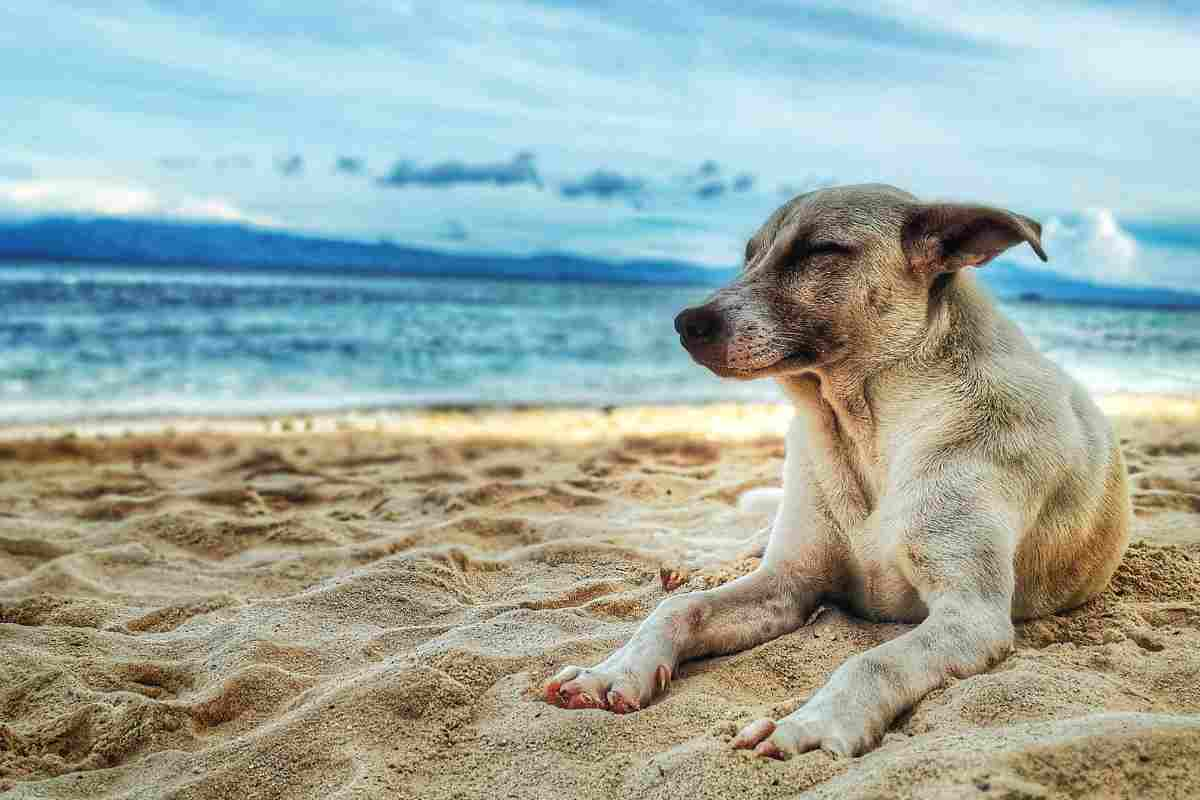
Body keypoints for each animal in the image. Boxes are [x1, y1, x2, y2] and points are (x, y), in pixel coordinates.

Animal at [542, 184, 1123, 762]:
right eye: (749, 254)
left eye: (819, 250)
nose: (687, 323)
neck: (864, 430)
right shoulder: (787, 582)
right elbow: (679, 611)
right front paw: (614, 671)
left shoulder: (970, 615)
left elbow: (872, 662)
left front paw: (810, 727)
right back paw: (699, 565)